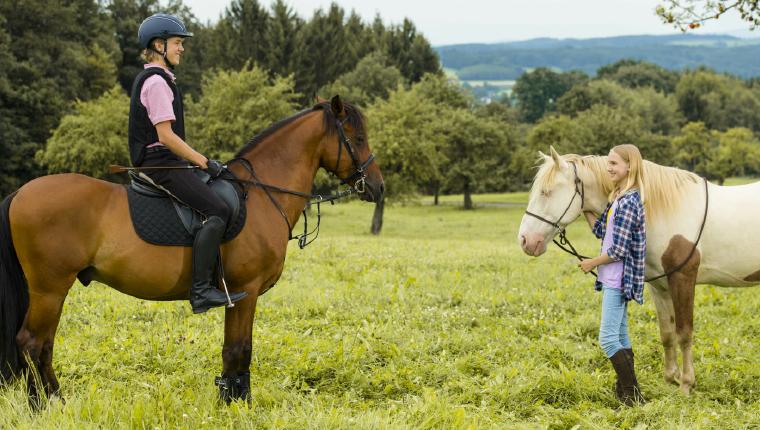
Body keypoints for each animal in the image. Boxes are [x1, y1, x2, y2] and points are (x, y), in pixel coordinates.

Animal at [0, 95, 380, 404]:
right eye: (358, 138)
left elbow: (234, 350)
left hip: (50, 290)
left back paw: (49, 403)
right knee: (32, 342)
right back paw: (47, 404)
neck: (260, 194)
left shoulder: (238, 295)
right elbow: (239, 350)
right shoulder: (246, 290)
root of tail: (20, 193)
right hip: (50, 288)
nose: (377, 186)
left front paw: (231, 399)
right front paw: (236, 405)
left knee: (42, 345)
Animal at [516, 147, 756, 394]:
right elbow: (667, 333)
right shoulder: (660, 286)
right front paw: (670, 379)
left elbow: (684, 333)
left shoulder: (683, 279)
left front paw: (686, 384)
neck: (662, 211)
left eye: (546, 192)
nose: (525, 240)